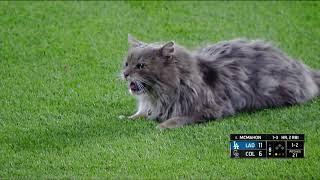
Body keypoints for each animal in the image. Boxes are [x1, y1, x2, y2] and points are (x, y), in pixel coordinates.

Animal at [122, 35, 320, 129]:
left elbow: (178, 118)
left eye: (140, 66)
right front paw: (127, 117)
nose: (124, 74)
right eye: (126, 63)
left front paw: (162, 126)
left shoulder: (210, 109)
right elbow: (139, 114)